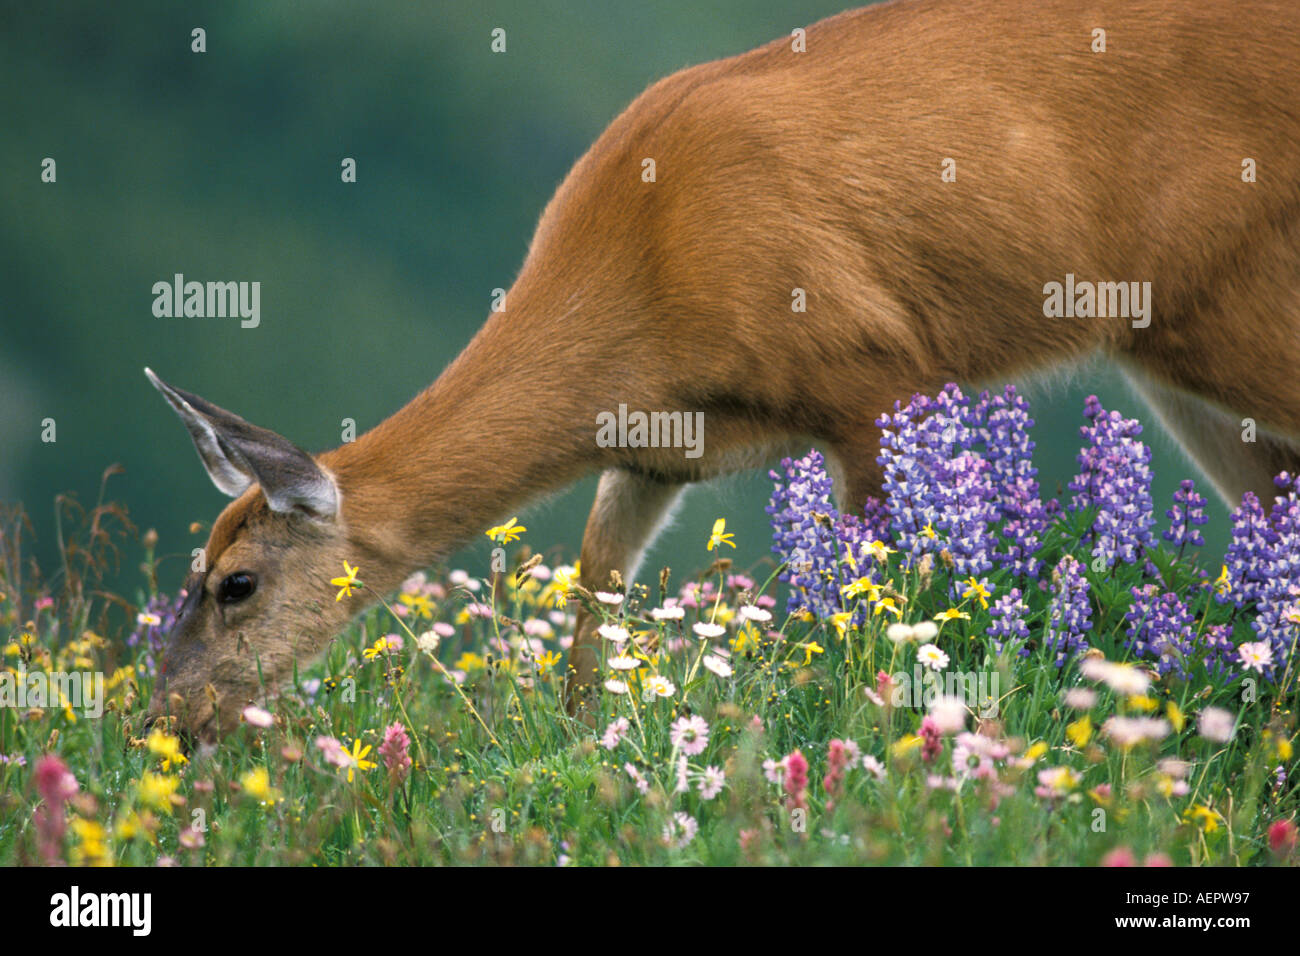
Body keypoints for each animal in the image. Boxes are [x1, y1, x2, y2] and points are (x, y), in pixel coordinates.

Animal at [145, 0, 1300, 741]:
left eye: (237, 581)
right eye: (191, 574)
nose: (166, 716)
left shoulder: (874, 369)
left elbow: (879, 595)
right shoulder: (660, 449)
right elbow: (595, 598)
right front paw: (586, 744)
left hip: (1223, 307)